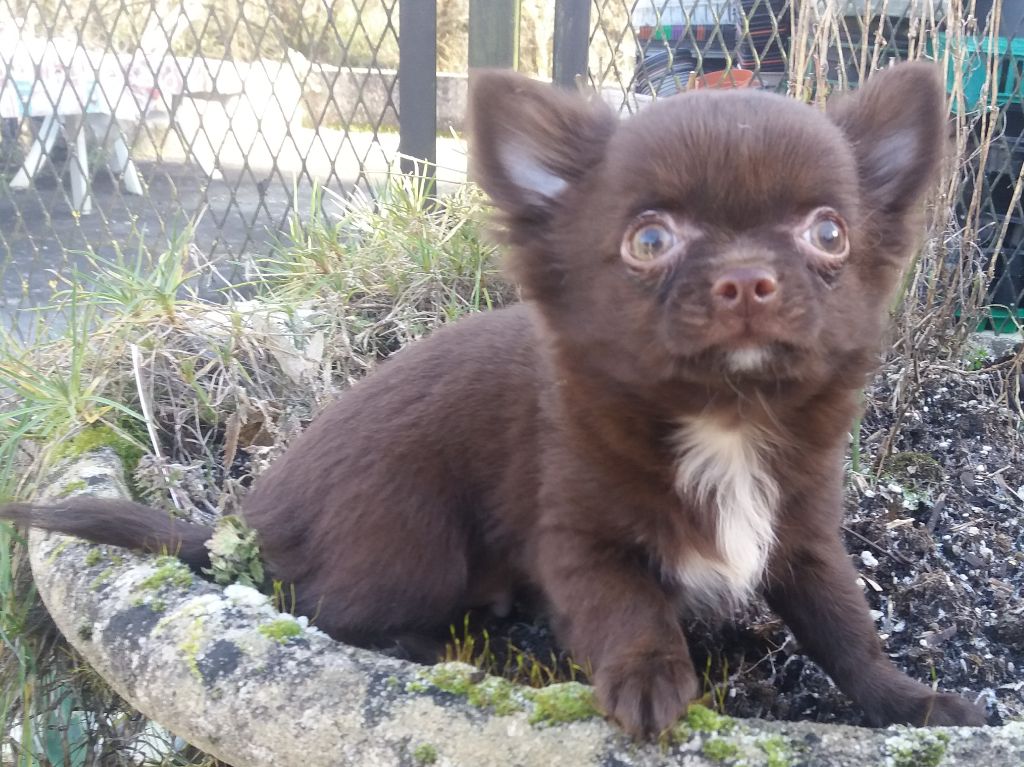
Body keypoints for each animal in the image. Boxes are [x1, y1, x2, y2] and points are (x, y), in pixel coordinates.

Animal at [4, 66, 987, 737]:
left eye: (829, 232)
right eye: (649, 240)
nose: (747, 278)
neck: (727, 418)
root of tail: (254, 512)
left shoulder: (803, 533)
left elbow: (847, 630)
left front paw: (912, 701)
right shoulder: (579, 539)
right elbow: (628, 608)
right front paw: (648, 678)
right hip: (414, 543)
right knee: (321, 605)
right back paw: (421, 645)